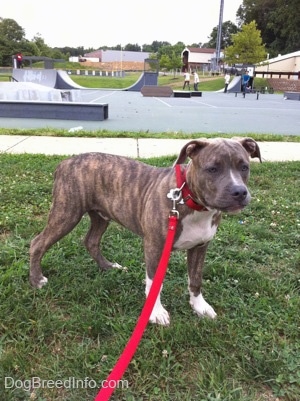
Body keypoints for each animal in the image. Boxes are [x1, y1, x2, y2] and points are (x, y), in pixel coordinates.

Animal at [29, 138, 262, 324]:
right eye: (212, 168)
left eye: (244, 167)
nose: (239, 192)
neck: (190, 200)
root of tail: (65, 162)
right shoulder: (155, 246)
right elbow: (154, 283)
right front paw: (156, 313)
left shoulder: (200, 246)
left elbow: (195, 279)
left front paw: (200, 307)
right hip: (66, 213)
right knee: (37, 242)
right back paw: (37, 279)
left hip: (101, 215)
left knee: (91, 241)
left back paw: (108, 267)